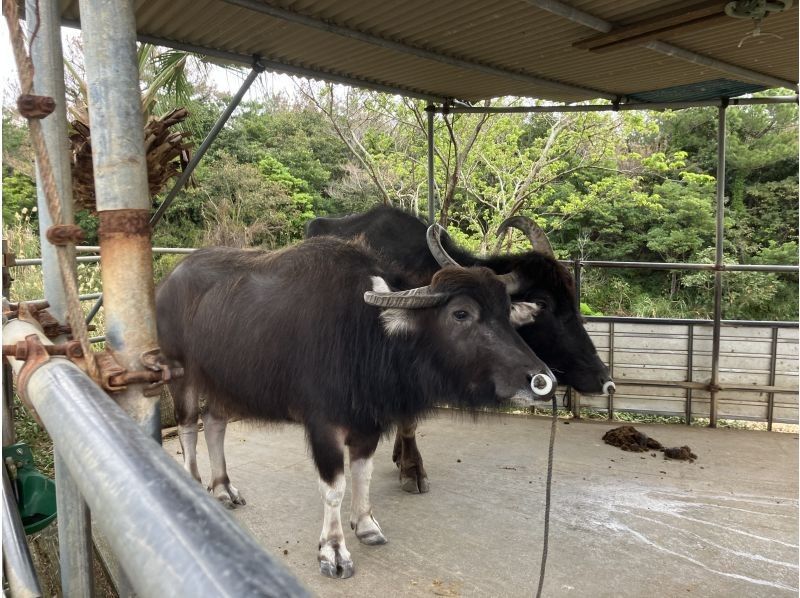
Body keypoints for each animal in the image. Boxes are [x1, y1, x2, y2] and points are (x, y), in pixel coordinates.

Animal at [156, 237, 556, 580]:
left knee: (214, 422)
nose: (541, 379)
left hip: (222, 383)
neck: (364, 333)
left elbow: (363, 474)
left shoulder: (368, 422)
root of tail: (169, 281)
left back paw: (224, 487)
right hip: (180, 373)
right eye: (461, 314)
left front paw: (365, 525)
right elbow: (334, 486)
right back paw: (192, 484)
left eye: (506, 314)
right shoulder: (323, 426)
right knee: (188, 425)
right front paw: (333, 552)